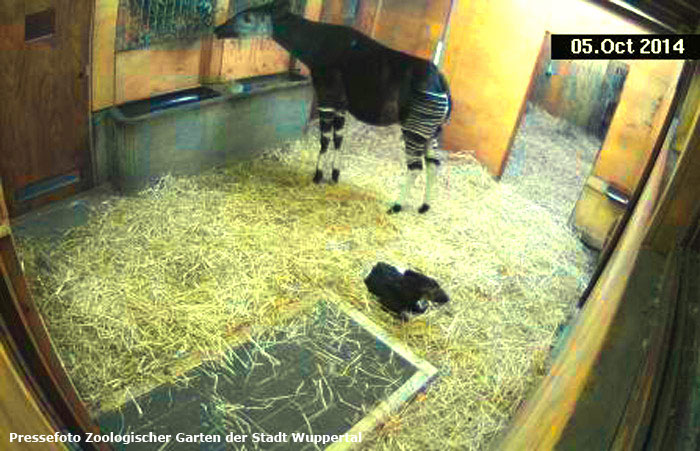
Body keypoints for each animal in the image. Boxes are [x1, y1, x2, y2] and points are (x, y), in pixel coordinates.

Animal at [215, 0, 454, 215]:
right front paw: (335, 175)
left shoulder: (327, 98)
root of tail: (441, 83)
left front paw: (318, 175)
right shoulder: (340, 105)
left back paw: (396, 206)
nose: (217, 30)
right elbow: (339, 139)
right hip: (432, 130)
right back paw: (424, 207)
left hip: (414, 127)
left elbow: (325, 140)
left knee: (415, 167)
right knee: (434, 163)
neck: (317, 43)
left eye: (247, 18)